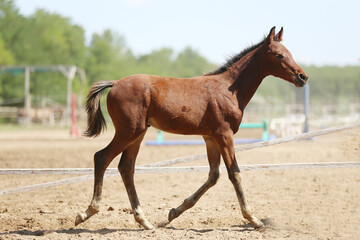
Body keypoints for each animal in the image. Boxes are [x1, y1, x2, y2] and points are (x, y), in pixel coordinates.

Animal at [75, 26, 306, 231]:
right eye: (278, 55)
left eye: (290, 53)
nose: (302, 77)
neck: (229, 89)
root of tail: (115, 83)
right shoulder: (224, 135)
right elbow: (235, 173)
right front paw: (254, 220)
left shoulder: (210, 137)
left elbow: (213, 176)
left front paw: (173, 212)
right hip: (128, 131)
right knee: (102, 157)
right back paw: (86, 213)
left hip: (138, 134)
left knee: (126, 167)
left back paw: (145, 221)